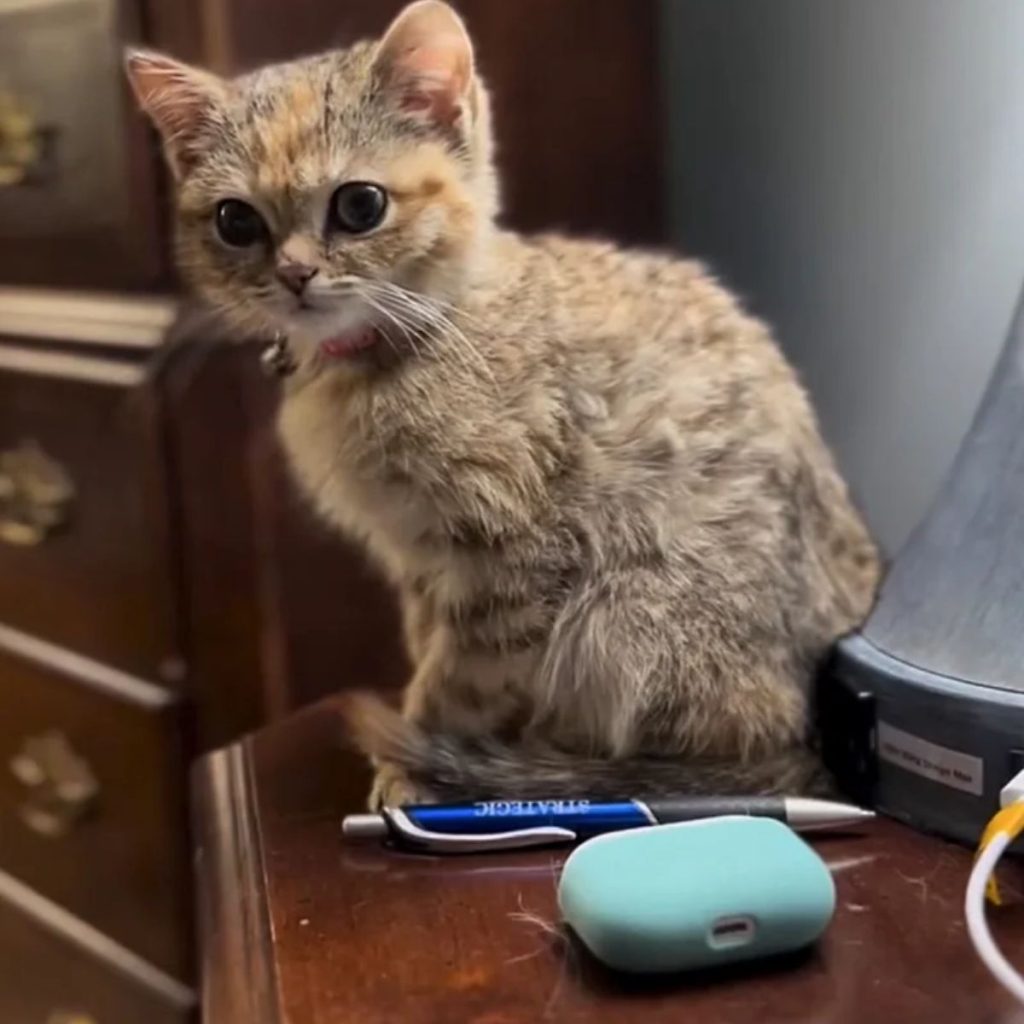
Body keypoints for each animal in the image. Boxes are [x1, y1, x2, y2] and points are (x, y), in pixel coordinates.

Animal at [128, 4, 880, 811]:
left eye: (359, 205)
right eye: (236, 222)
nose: (295, 274)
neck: (404, 345)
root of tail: (817, 750)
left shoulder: (514, 563)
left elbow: (460, 681)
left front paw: (417, 763)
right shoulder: (420, 562)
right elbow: (426, 646)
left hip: (621, 617)